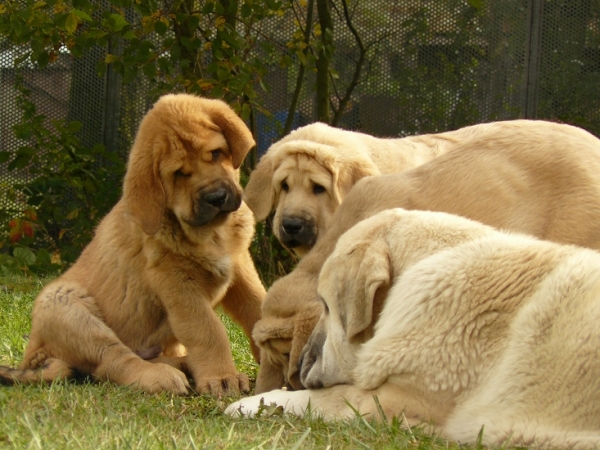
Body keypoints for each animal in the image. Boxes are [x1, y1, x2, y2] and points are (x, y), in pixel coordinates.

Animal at [0, 93, 264, 396]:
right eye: (179, 173)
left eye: (216, 153)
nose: (217, 197)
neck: (213, 234)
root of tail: (31, 358)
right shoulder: (179, 285)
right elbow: (208, 330)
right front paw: (221, 377)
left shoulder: (239, 267)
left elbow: (258, 306)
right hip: (63, 304)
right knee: (112, 362)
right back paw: (162, 376)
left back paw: (182, 364)